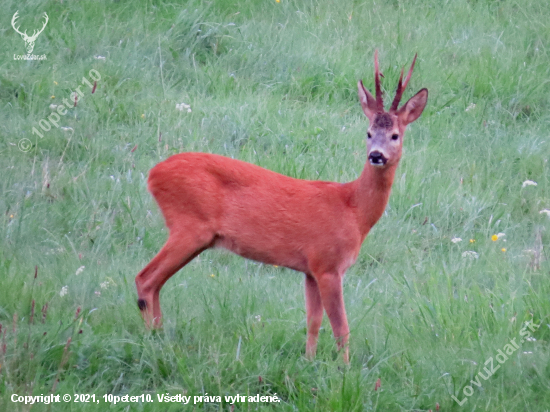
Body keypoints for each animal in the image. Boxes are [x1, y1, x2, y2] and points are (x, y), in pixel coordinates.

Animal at [136, 52, 430, 364]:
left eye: (395, 135)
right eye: (369, 132)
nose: (376, 155)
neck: (353, 209)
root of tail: (153, 174)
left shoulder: (310, 269)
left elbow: (313, 321)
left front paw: (309, 361)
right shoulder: (328, 264)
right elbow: (341, 326)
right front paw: (345, 370)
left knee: (155, 282)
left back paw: (159, 335)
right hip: (189, 226)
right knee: (146, 279)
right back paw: (154, 337)